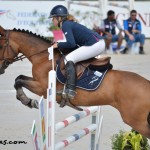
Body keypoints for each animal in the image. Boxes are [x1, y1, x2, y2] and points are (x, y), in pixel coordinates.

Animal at [0, 25, 150, 138]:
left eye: (1, 46)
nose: (0, 69)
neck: (43, 57)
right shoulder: (37, 82)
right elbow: (18, 78)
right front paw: (28, 101)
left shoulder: (41, 87)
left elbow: (19, 81)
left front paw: (28, 101)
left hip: (136, 120)